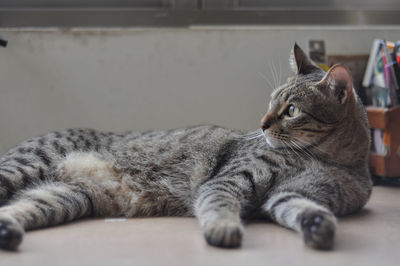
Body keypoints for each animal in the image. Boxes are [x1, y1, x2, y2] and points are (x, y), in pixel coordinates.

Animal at [0, 44, 372, 251]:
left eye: (291, 110)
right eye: (270, 102)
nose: (262, 123)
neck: (329, 160)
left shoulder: (292, 195)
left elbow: (302, 209)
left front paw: (319, 227)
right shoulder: (228, 181)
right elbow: (219, 205)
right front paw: (223, 229)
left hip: (66, 198)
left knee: (15, 210)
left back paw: (9, 232)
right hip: (24, 168)